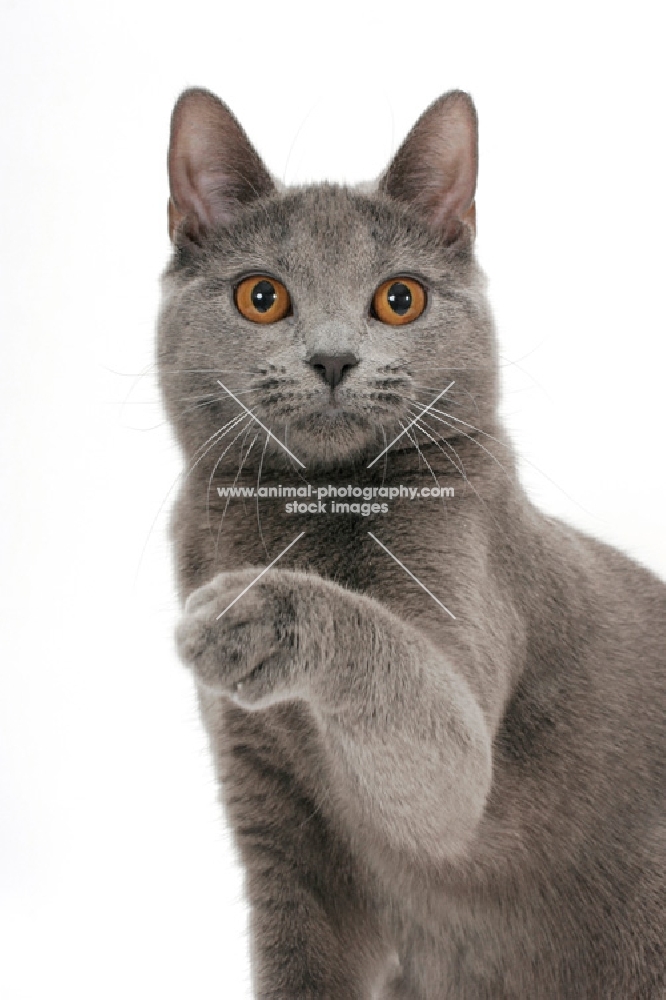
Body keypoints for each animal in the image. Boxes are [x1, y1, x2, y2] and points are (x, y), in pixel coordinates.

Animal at [157, 88, 664, 1000]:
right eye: (261, 297)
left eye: (400, 299)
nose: (332, 358)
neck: (300, 513)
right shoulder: (275, 816)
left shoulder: (462, 674)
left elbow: (408, 688)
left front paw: (254, 612)